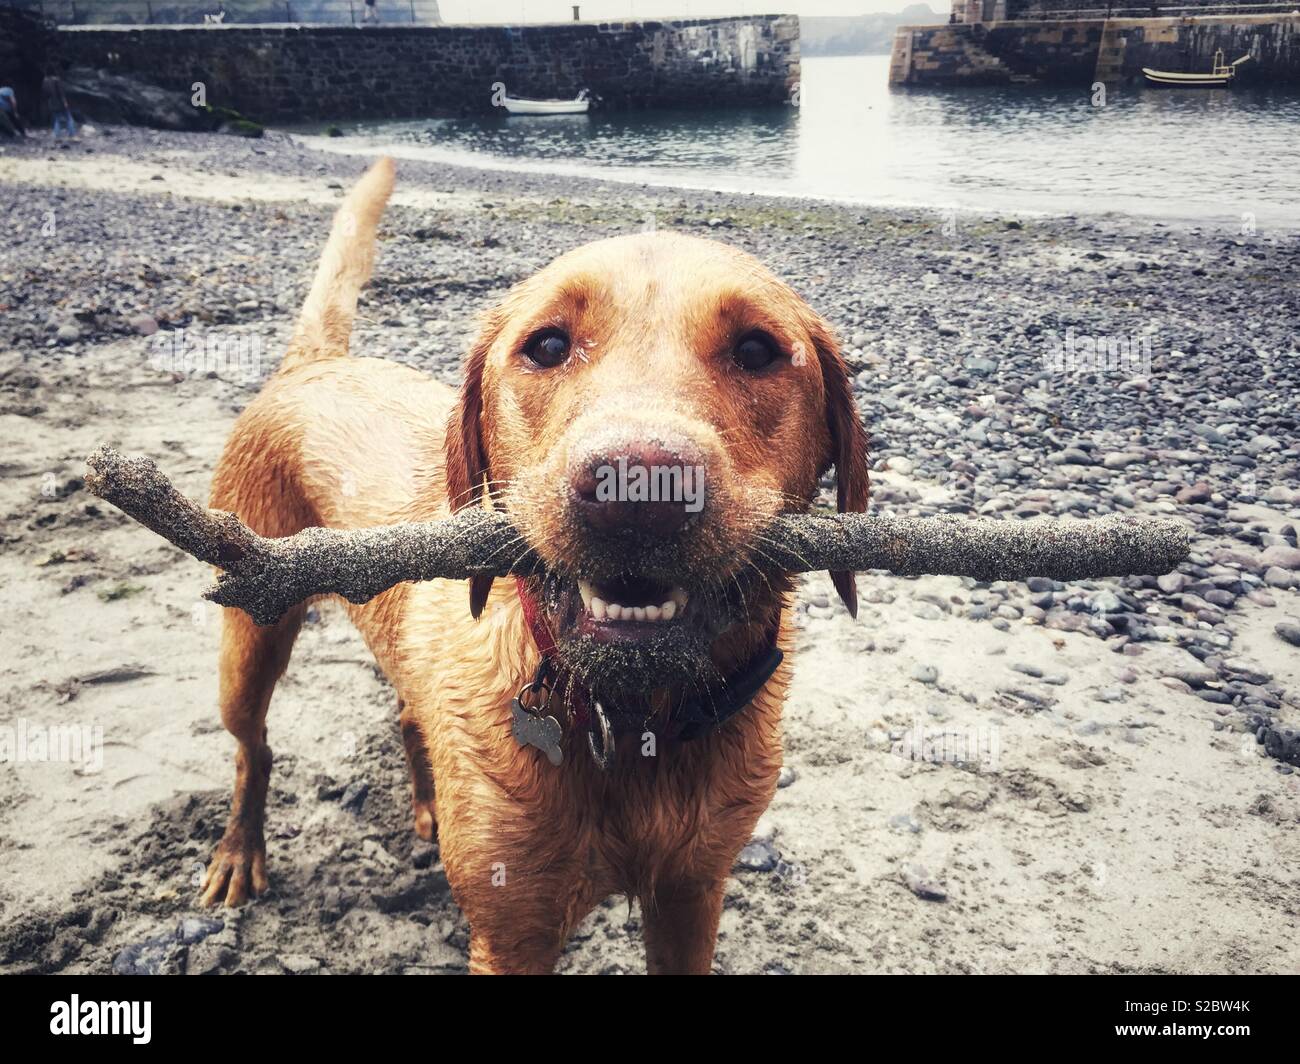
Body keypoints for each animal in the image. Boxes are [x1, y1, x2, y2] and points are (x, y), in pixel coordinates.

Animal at [202, 155, 868, 967]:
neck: (630, 722)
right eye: (547, 346)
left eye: (756, 351)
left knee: (407, 714)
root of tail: (315, 364)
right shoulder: (512, 934)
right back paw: (239, 849)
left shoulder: (692, 897)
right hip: (249, 639)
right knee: (253, 749)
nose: (636, 488)